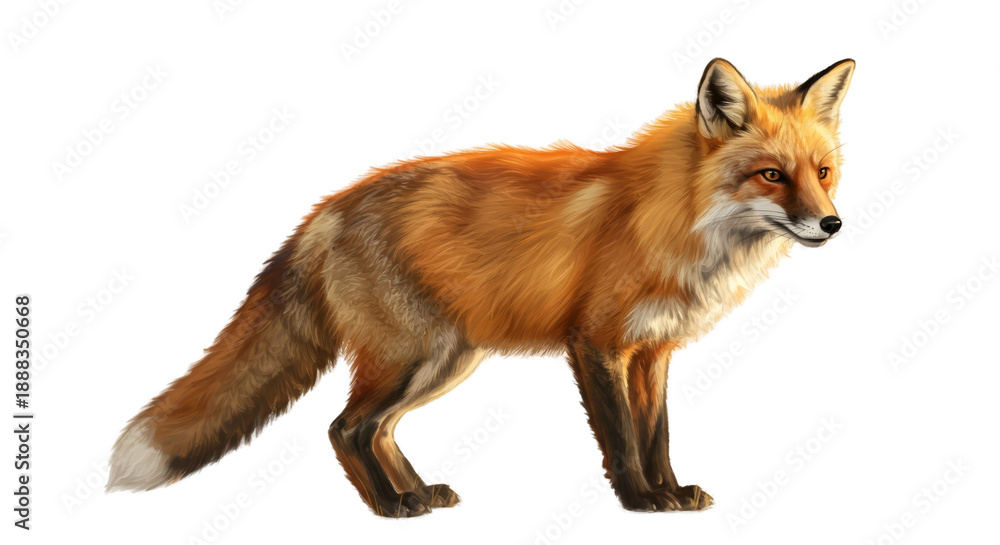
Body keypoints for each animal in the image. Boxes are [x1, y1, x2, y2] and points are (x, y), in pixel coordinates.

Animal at [107, 57, 855, 517]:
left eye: (822, 171)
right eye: (771, 175)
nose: (832, 223)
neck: (674, 217)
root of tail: (327, 208)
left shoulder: (653, 351)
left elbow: (658, 433)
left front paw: (671, 493)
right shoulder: (597, 344)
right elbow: (622, 438)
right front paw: (641, 501)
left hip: (444, 360)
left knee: (375, 429)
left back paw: (417, 494)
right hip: (410, 358)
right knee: (343, 427)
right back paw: (390, 508)